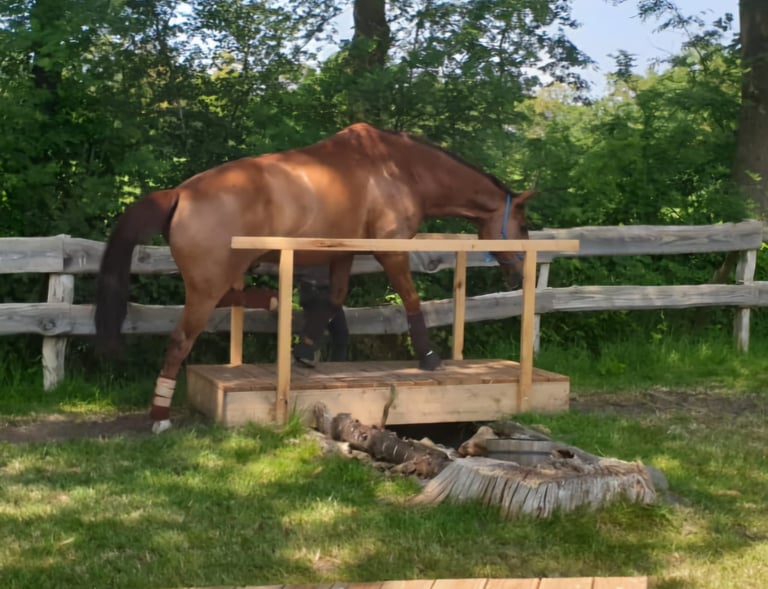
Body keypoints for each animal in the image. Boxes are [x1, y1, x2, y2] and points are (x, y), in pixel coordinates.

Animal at [95, 123, 536, 433]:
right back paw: (160, 414)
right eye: (524, 224)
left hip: (218, 280)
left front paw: (305, 351)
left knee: (236, 301)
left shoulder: (343, 253)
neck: (400, 169)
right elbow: (410, 298)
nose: (517, 274)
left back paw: (272, 303)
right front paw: (429, 357)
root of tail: (179, 193)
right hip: (205, 289)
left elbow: (334, 298)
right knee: (180, 340)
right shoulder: (390, 250)